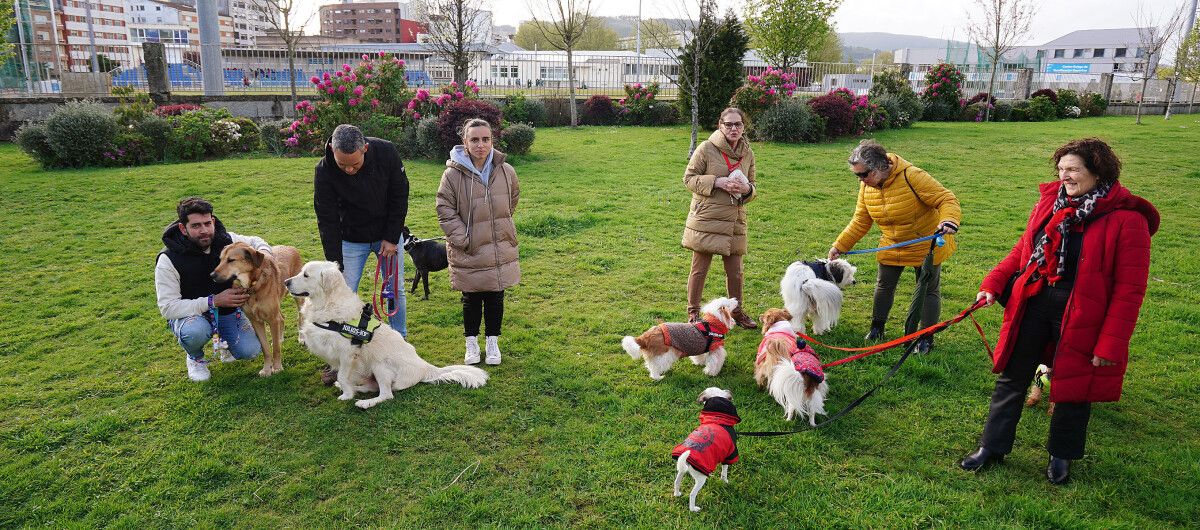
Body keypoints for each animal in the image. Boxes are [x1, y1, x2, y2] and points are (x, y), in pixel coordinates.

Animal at [208, 242, 300, 374]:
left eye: (231, 260)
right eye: (220, 260)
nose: (212, 275)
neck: (252, 288)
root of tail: (291, 247)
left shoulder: (272, 319)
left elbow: (276, 349)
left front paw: (277, 367)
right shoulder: (256, 321)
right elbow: (265, 348)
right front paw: (266, 369)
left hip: (298, 297)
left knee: (300, 316)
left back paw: (301, 338)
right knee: (282, 318)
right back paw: (280, 338)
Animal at [285, 261, 487, 410]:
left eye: (306, 275)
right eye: (301, 272)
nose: (286, 282)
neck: (327, 305)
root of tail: (424, 366)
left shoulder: (348, 353)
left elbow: (342, 375)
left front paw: (346, 395)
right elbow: (343, 377)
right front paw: (346, 389)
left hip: (379, 364)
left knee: (387, 394)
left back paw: (365, 403)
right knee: (372, 387)